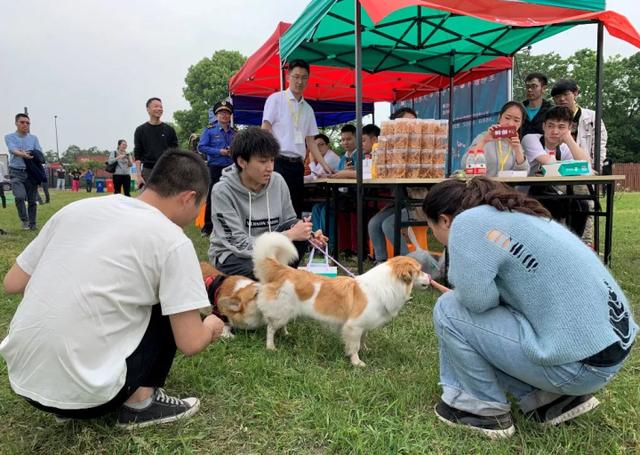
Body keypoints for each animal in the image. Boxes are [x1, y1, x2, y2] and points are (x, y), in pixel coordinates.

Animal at [252, 233, 432, 368]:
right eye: (419, 270)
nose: (430, 277)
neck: (385, 284)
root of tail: (284, 270)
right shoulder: (354, 326)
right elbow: (354, 345)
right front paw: (356, 362)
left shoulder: (363, 326)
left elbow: (363, 339)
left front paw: (366, 350)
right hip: (281, 311)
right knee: (270, 328)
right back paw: (271, 346)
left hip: (286, 312)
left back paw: (286, 333)